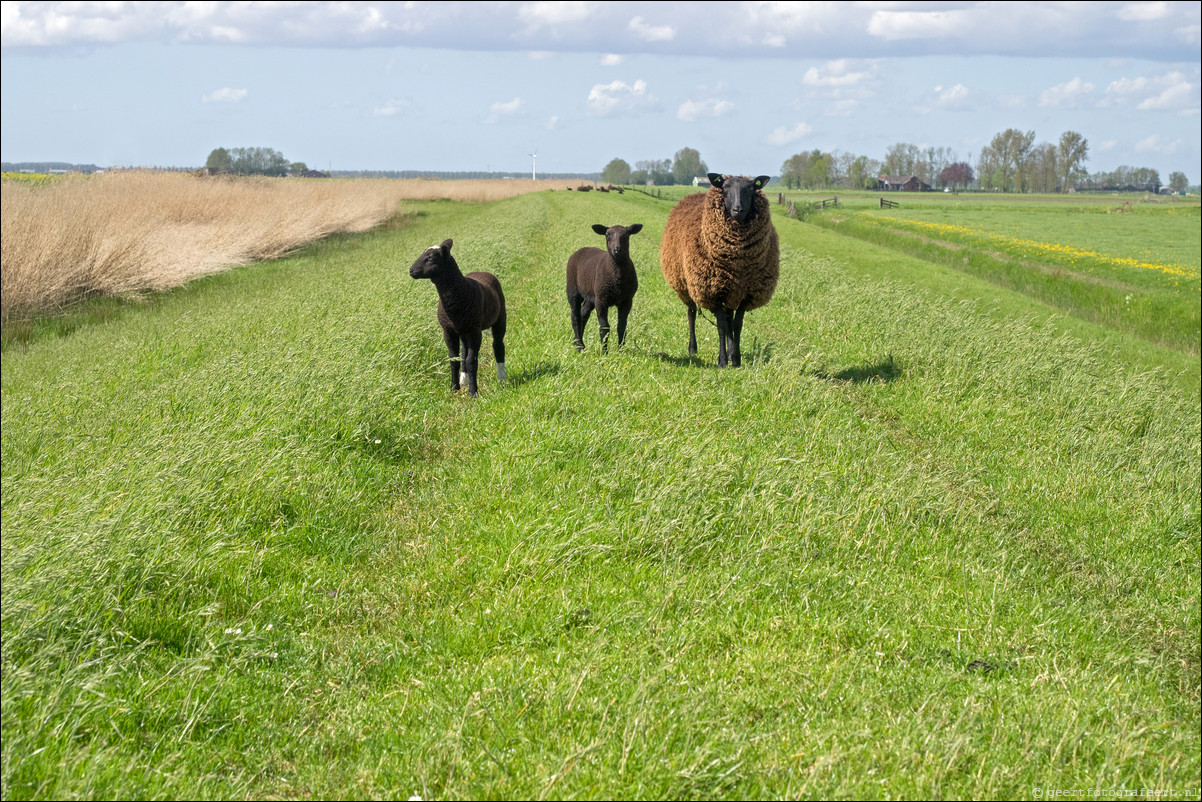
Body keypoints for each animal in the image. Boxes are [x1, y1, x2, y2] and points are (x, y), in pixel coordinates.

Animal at [408, 241, 507, 399]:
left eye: (430, 258)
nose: (411, 271)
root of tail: (481, 272)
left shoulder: (474, 330)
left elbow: (472, 361)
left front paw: (473, 392)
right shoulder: (448, 330)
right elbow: (454, 360)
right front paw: (454, 388)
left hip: (499, 317)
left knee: (498, 344)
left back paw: (501, 377)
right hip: (462, 330)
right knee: (464, 350)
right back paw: (464, 378)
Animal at [564, 224, 644, 353]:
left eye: (627, 235)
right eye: (607, 235)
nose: (617, 249)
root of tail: (582, 249)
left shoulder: (627, 300)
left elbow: (622, 326)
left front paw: (620, 351)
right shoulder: (601, 300)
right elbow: (604, 327)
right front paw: (604, 352)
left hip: (592, 295)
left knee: (583, 314)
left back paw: (579, 342)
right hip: (573, 289)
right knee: (575, 317)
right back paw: (579, 346)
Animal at [658, 174, 778, 367]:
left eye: (751, 188)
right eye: (725, 188)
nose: (738, 209)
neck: (737, 260)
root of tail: (694, 194)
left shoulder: (745, 293)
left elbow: (736, 325)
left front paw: (735, 358)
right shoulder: (713, 292)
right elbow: (721, 327)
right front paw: (722, 361)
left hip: (730, 291)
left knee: (729, 319)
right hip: (686, 285)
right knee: (691, 313)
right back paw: (693, 349)